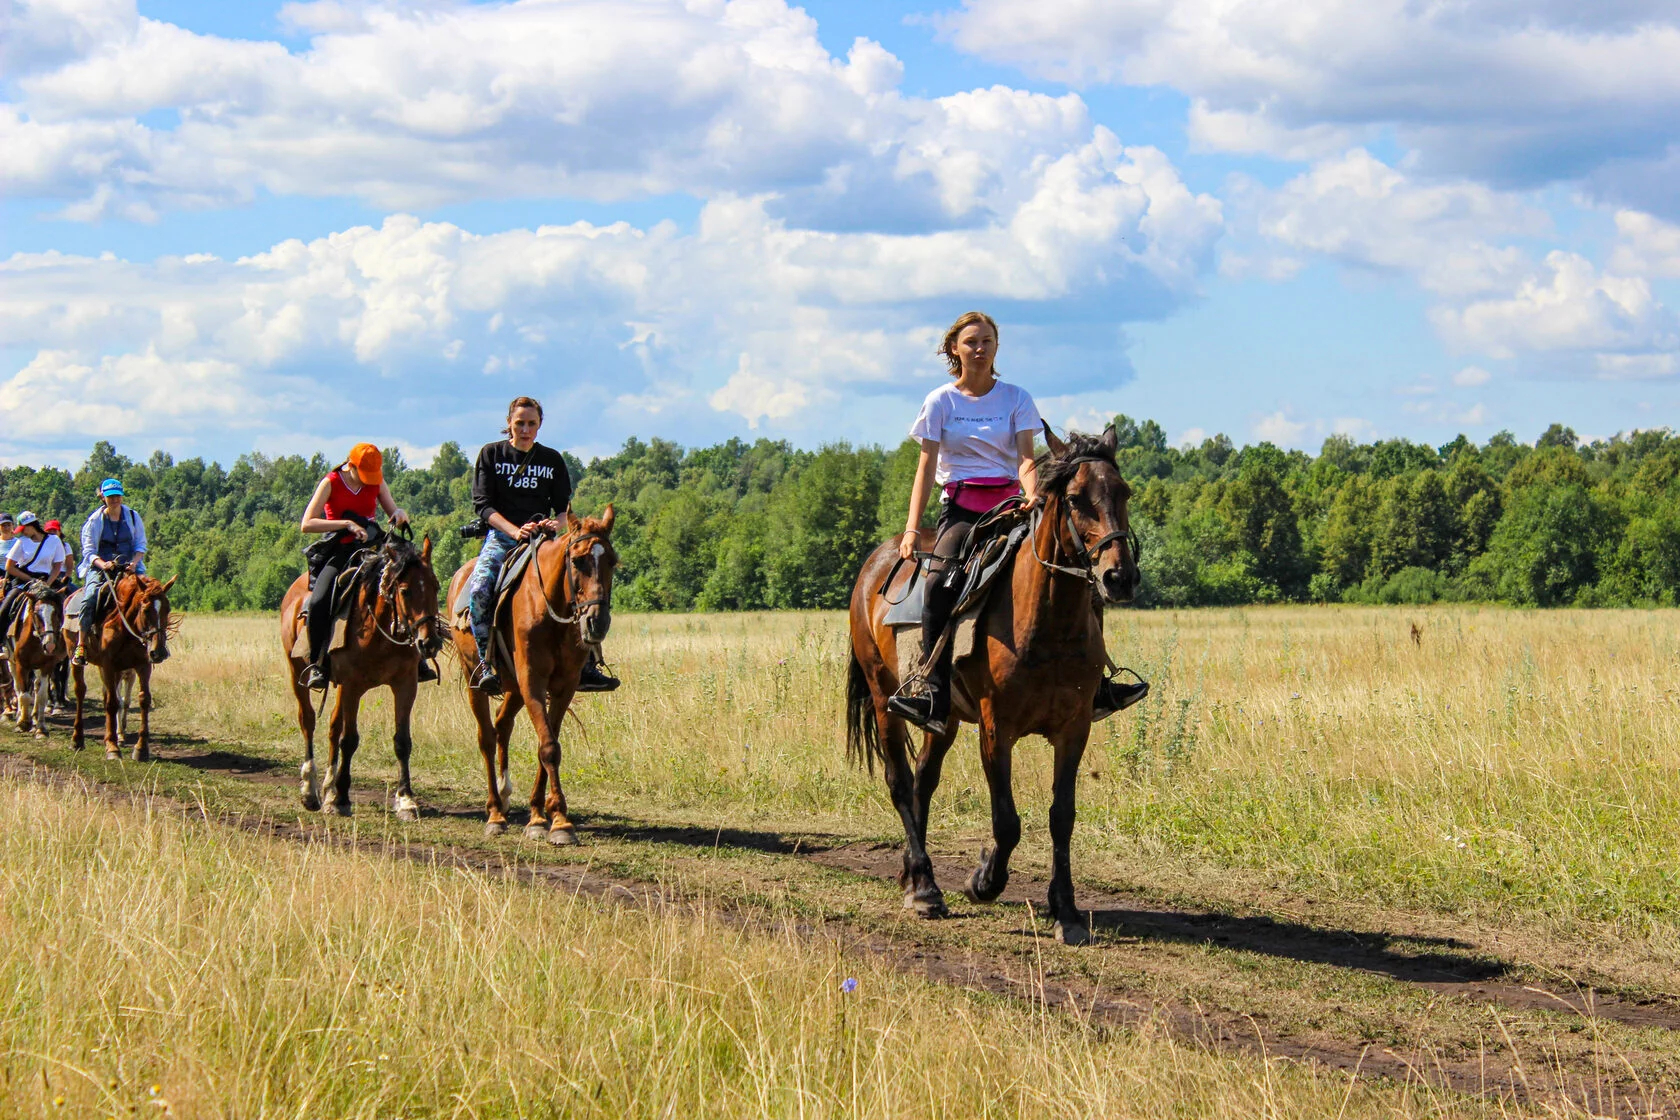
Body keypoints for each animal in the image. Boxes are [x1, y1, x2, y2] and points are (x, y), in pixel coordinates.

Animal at [5, 584, 68, 738]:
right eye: (36, 613)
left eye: (56, 613)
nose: (50, 645)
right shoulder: (22, 665)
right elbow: (24, 695)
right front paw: (23, 723)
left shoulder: (47, 666)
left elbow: (41, 695)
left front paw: (41, 728)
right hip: (11, 663)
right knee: (18, 688)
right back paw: (19, 715)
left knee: (35, 686)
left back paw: (33, 717)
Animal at [70, 570, 177, 762]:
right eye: (146, 610)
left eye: (168, 609)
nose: (158, 652)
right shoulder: (108, 665)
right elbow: (113, 703)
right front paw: (113, 747)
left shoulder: (142, 666)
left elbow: (143, 700)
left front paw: (141, 748)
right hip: (75, 658)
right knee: (80, 691)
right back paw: (77, 739)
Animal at [282, 530, 443, 819]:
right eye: (405, 590)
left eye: (435, 586)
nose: (429, 643)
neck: (379, 631)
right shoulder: (352, 685)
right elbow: (349, 740)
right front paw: (342, 799)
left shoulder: (405, 684)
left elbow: (402, 741)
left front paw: (406, 800)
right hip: (296, 671)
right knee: (308, 721)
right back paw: (310, 791)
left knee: (333, 727)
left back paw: (328, 789)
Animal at [446, 507, 618, 839]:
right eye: (577, 561)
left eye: (613, 562)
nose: (597, 622)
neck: (550, 608)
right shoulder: (533, 682)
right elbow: (548, 746)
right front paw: (559, 822)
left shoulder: (563, 687)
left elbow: (548, 743)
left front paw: (541, 815)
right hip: (476, 678)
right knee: (486, 737)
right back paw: (495, 813)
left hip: (514, 687)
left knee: (502, 725)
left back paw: (505, 795)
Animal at [846, 426, 1135, 947]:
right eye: (1076, 499)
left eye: (1124, 493)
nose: (1119, 577)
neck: (1047, 624)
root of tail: (878, 560)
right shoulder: (995, 729)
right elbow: (1007, 821)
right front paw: (983, 880)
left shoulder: (1074, 730)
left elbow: (1062, 817)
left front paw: (1067, 911)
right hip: (882, 699)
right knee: (901, 783)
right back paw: (926, 890)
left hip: (941, 720)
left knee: (924, 782)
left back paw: (914, 878)